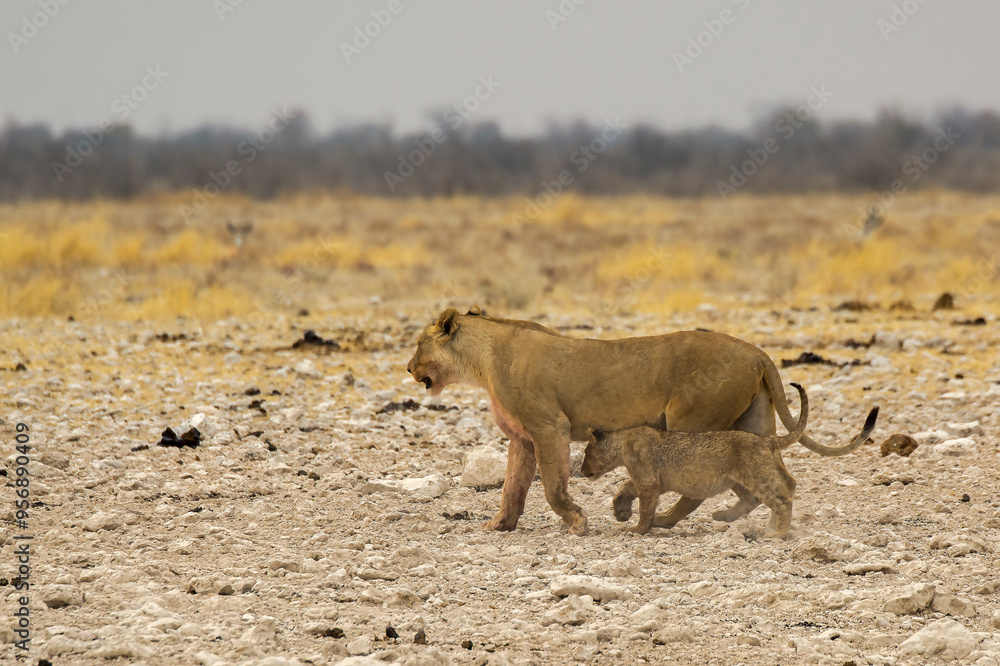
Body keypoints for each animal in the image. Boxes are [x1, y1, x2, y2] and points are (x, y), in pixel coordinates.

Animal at [582, 384, 877, 537]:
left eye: (585, 453)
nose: (582, 471)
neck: (623, 441)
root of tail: (766, 440)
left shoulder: (649, 481)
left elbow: (645, 507)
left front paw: (637, 528)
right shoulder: (651, 480)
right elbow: (623, 489)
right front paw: (621, 513)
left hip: (755, 475)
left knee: (781, 499)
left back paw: (774, 534)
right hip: (738, 479)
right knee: (759, 497)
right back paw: (728, 517)